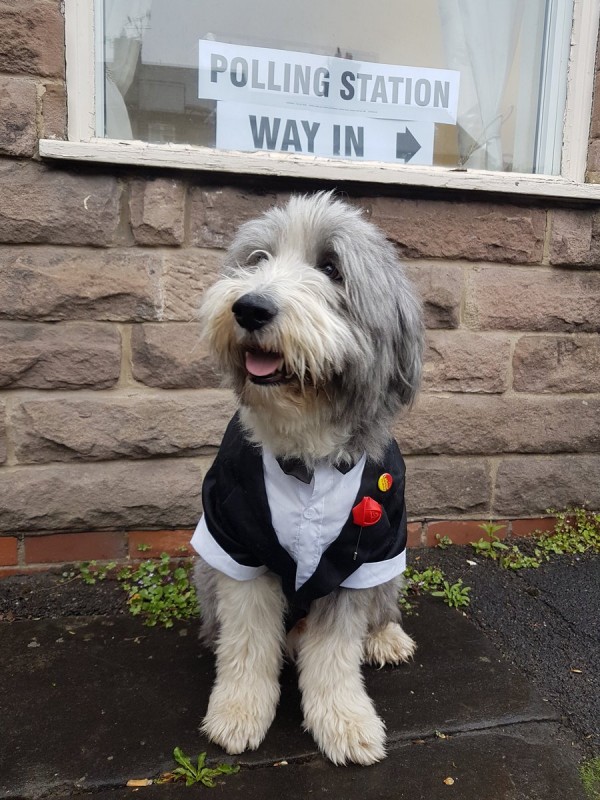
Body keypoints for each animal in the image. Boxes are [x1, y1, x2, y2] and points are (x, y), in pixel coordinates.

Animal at [191, 191, 422, 764]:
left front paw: (345, 722)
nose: (249, 307)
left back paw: (386, 638)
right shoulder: (239, 548)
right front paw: (237, 712)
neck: (307, 459)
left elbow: (336, 653)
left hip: (389, 564)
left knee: (380, 609)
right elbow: (248, 643)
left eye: (331, 268)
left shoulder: (360, 560)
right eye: (257, 259)